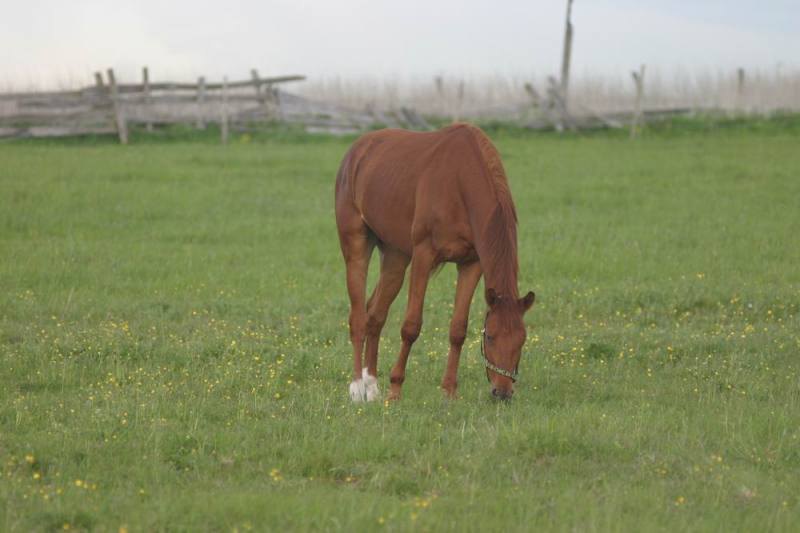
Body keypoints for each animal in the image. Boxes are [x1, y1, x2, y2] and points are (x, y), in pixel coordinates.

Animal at [334, 123, 536, 400]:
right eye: (491, 337)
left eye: (522, 340)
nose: (502, 392)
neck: (460, 183)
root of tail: (357, 150)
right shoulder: (423, 255)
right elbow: (411, 326)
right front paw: (395, 390)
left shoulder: (471, 264)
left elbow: (458, 329)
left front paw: (449, 391)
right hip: (356, 245)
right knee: (357, 317)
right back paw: (357, 388)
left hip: (395, 257)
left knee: (375, 314)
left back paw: (372, 385)